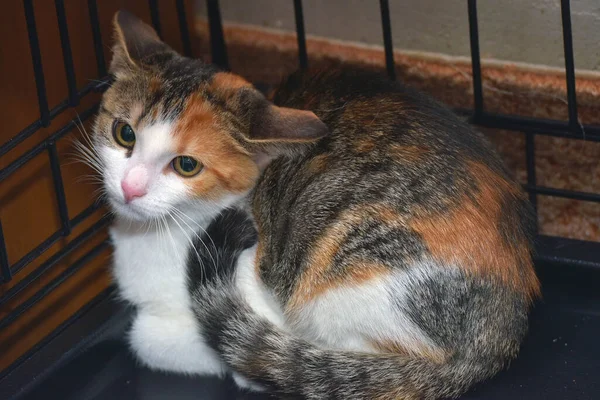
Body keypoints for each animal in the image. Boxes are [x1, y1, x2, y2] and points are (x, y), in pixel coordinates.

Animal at [94, 10, 540, 398]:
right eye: (124, 133)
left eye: (187, 165)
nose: (131, 187)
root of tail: (501, 335)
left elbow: (146, 338)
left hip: (349, 279)